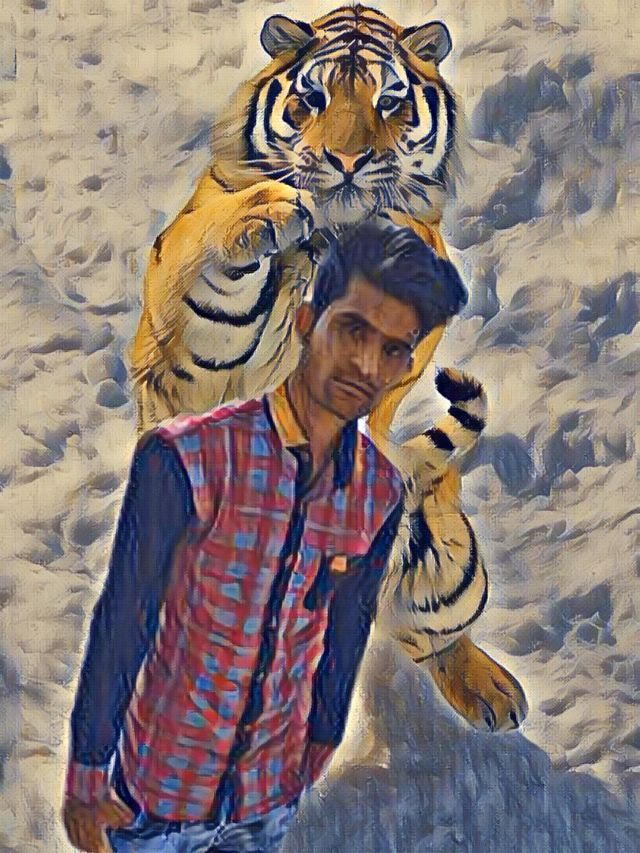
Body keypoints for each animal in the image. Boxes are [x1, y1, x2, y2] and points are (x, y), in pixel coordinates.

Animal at [129, 5, 527, 732]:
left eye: (390, 101)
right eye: (311, 98)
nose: (346, 163)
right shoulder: (193, 349)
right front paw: (267, 214)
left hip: (453, 563)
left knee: (438, 636)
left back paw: (493, 692)